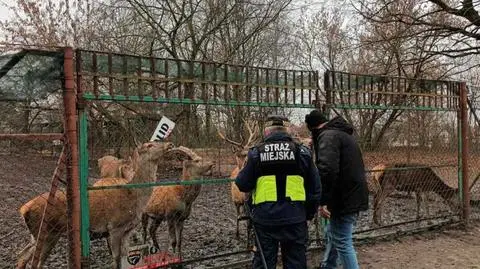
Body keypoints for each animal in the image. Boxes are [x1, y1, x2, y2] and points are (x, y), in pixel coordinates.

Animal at [18, 141, 178, 266]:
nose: (170, 144)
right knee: (36, 261)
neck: (134, 198)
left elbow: (125, 255)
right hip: (47, 232)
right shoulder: (115, 227)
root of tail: (24, 209)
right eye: (150, 144)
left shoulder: (128, 230)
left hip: (39, 234)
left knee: (23, 255)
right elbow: (116, 258)